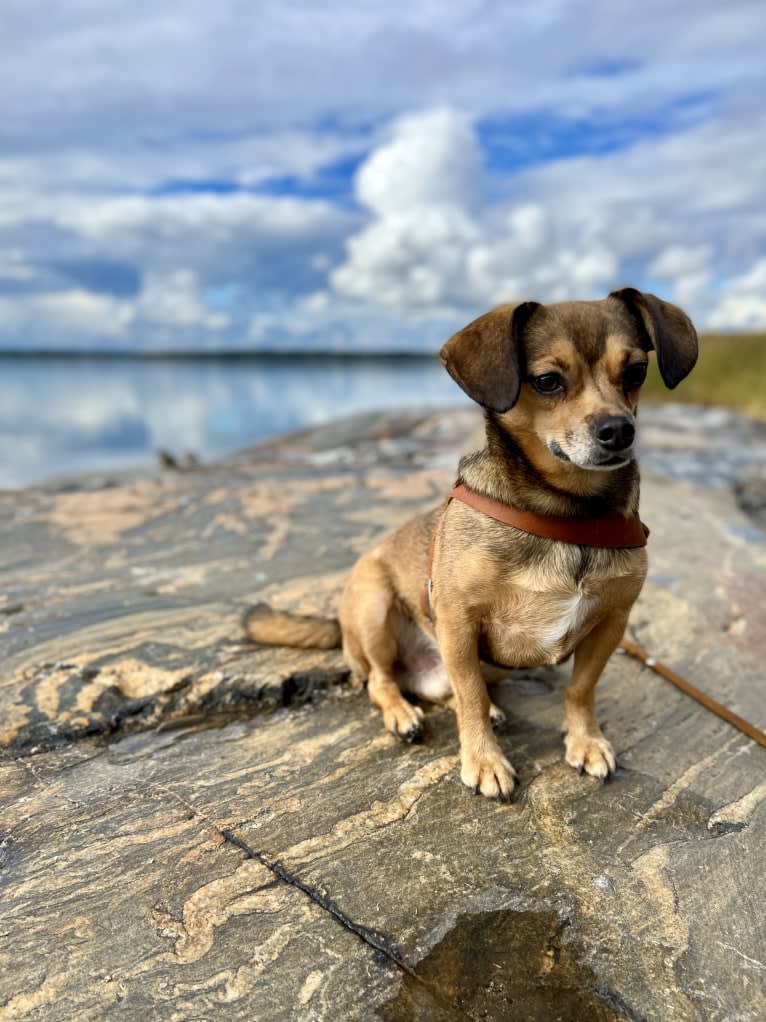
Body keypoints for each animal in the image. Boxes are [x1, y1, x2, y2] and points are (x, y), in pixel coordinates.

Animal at [244, 288, 694, 797]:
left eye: (636, 372)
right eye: (547, 381)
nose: (619, 430)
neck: (566, 513)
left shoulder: (611, 623)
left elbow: (579, 689)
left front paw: (586, 742)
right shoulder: (458, 621)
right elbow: (472, 696)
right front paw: (484, 761)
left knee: (452, 691)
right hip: (374, 606)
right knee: (385, 681)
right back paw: (402, 713)